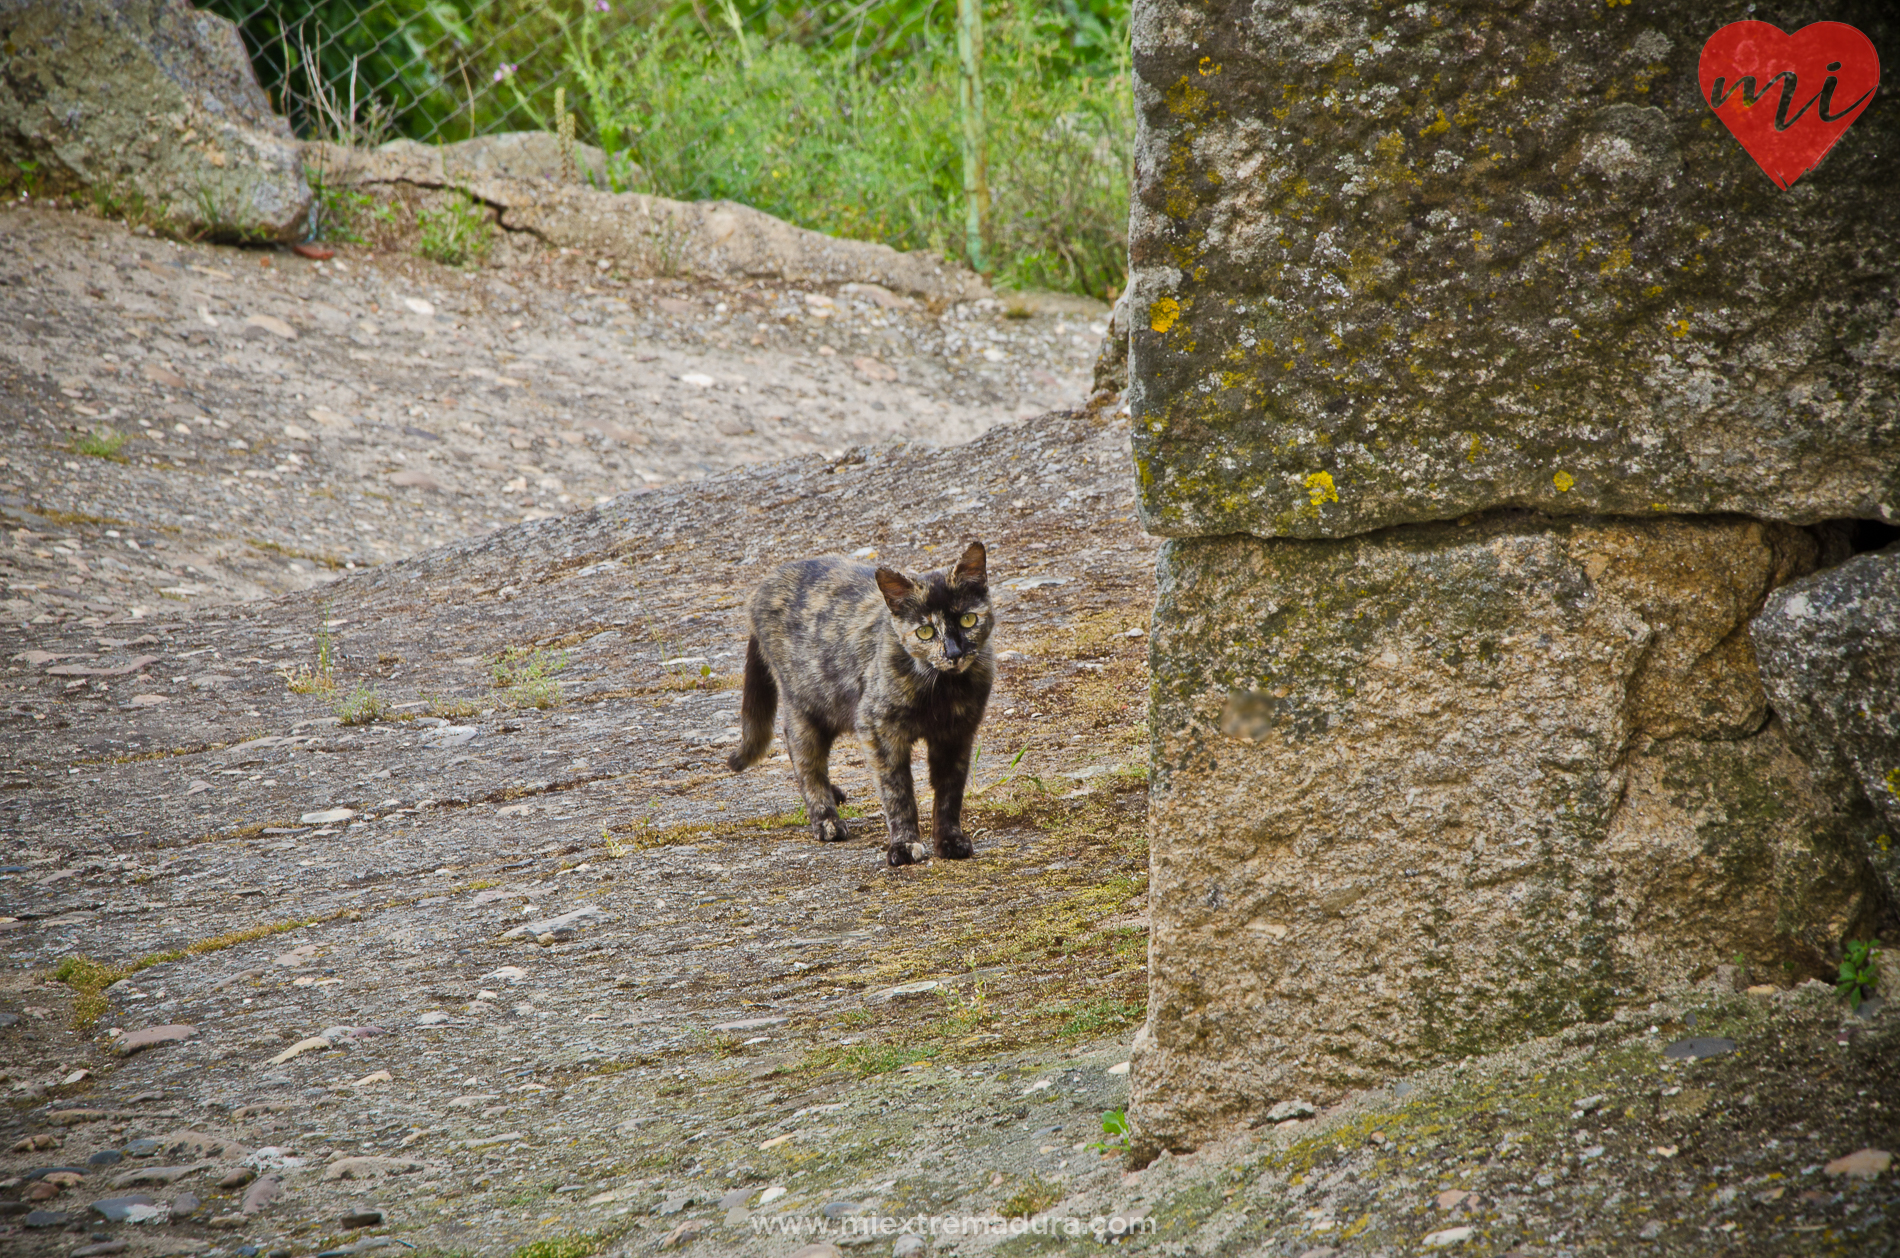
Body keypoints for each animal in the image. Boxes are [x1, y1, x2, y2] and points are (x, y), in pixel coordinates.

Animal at [722, 543, 995, 866]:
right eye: (925, 632)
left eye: (968, 620)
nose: (953, 652)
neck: (941, 689)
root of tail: (763, 585)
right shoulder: (878, 729)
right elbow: (897, 792)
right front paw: (904, 845)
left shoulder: (957, 735)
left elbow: (950, 792)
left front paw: (950, 841)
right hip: (808, 705)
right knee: (803, 757)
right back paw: (826, 820)